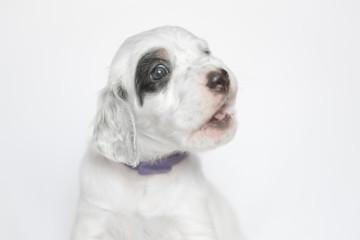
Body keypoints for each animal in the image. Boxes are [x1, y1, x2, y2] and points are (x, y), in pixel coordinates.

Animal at [71, 26, 242, 240]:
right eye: (159, 71)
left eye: (206, 52)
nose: (221, 77)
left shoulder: (192, 221)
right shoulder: (93, 219)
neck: (148, 173)